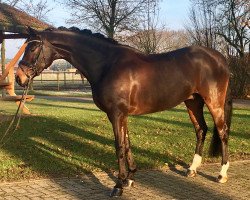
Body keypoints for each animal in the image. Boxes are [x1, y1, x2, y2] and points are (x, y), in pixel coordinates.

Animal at [15, 27, 232, 197]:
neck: (107, 64)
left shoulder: (116, 114)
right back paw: (192, 169)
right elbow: (127, 145)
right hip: (193, 102)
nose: (19, 78)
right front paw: (130, 178)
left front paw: (118, 185)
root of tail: (220, 58)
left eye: (33, 47)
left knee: (222, 131)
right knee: (201, 129)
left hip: (213, 102)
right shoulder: (123, 115)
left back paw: (221, 174)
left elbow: (119, 146)